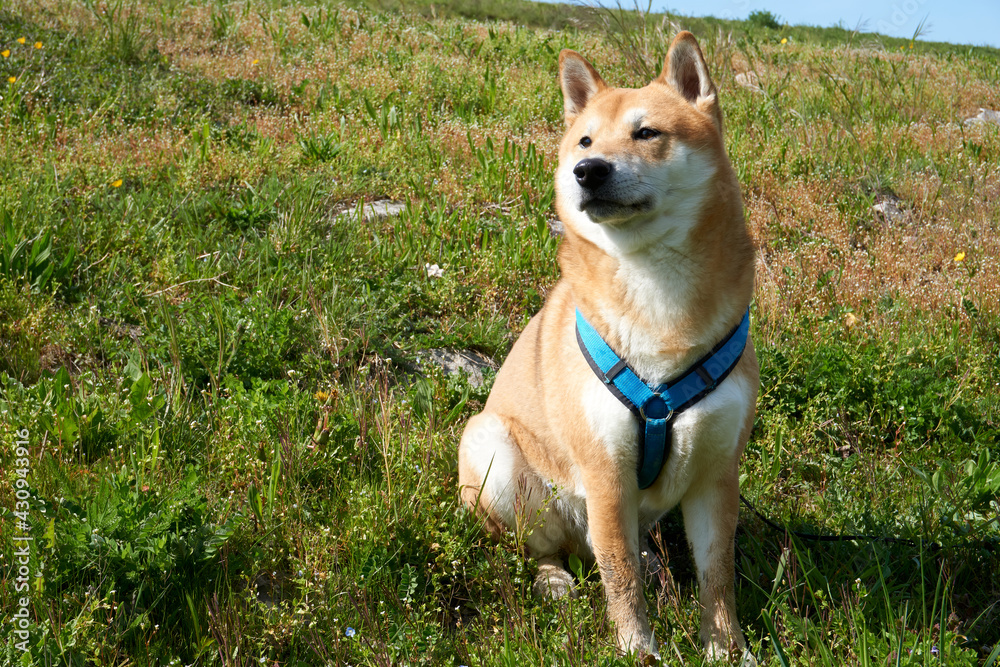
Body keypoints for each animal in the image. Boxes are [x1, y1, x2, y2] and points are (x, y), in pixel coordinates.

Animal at [458, 32, 752, 664]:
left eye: (647, 133)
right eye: (586, 140)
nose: (586, 171)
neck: (657, 294)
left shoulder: (717, 473)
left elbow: (718, 577)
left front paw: (728, 649)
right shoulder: (605, 470)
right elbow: (619, 577)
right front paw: (638, 648)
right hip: (495, 452)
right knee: (549, 549)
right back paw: (553, 579)